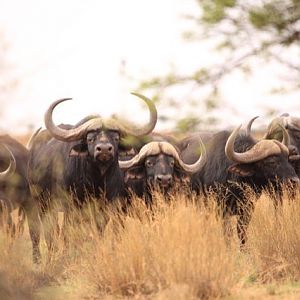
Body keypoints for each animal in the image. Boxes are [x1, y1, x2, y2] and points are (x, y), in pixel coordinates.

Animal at [28, 92, 158, 262]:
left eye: (116, 137)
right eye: (90, 138)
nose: (104, 149)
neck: (96, 180)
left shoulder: (108, 206)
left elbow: (99, 230)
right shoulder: (72, 205)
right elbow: (69, 232)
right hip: (40, 202)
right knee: (42, 231)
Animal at [182, 118, 298, 247]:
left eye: (287, 159)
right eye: (271, 162)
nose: (294, 181)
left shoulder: (248, 209)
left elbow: (241, 231)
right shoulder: (222, 209)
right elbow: (227, 232)